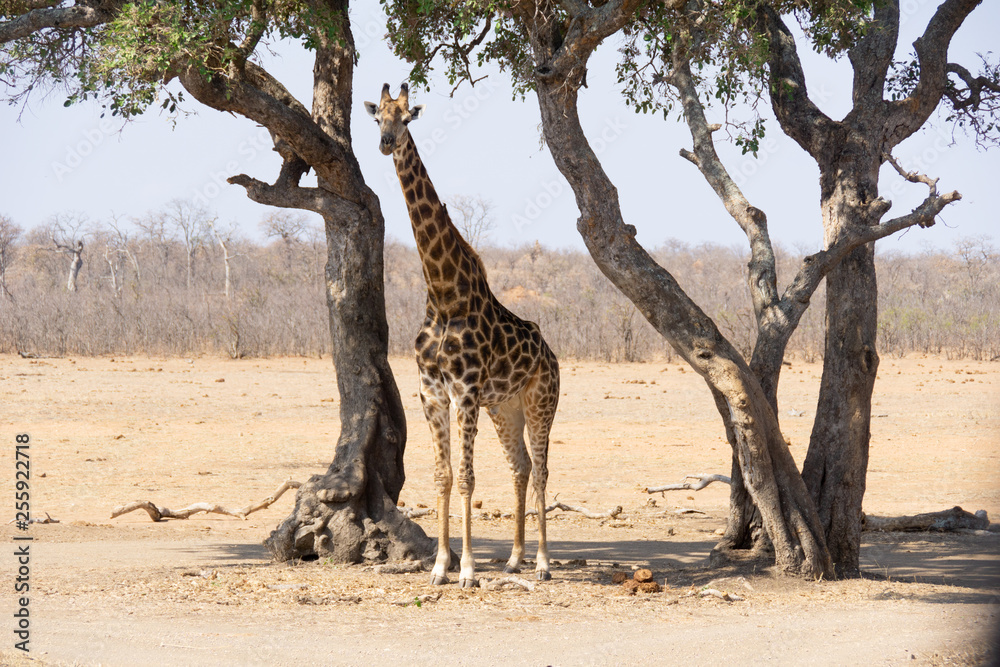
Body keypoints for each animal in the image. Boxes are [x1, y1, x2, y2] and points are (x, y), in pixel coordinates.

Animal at [365, 83, 560, 587]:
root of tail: (551, 354)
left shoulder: (466, 391)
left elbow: (468, 477)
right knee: (520, 466)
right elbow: (443, 476)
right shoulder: (432, 392)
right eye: (377, 118)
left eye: (407, 118)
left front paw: (468, 570)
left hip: (540, 401)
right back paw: (514, 559)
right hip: (505, 407)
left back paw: (543, 564)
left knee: (542, 469)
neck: (443, 292)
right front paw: (440, 567)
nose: (386, 144)